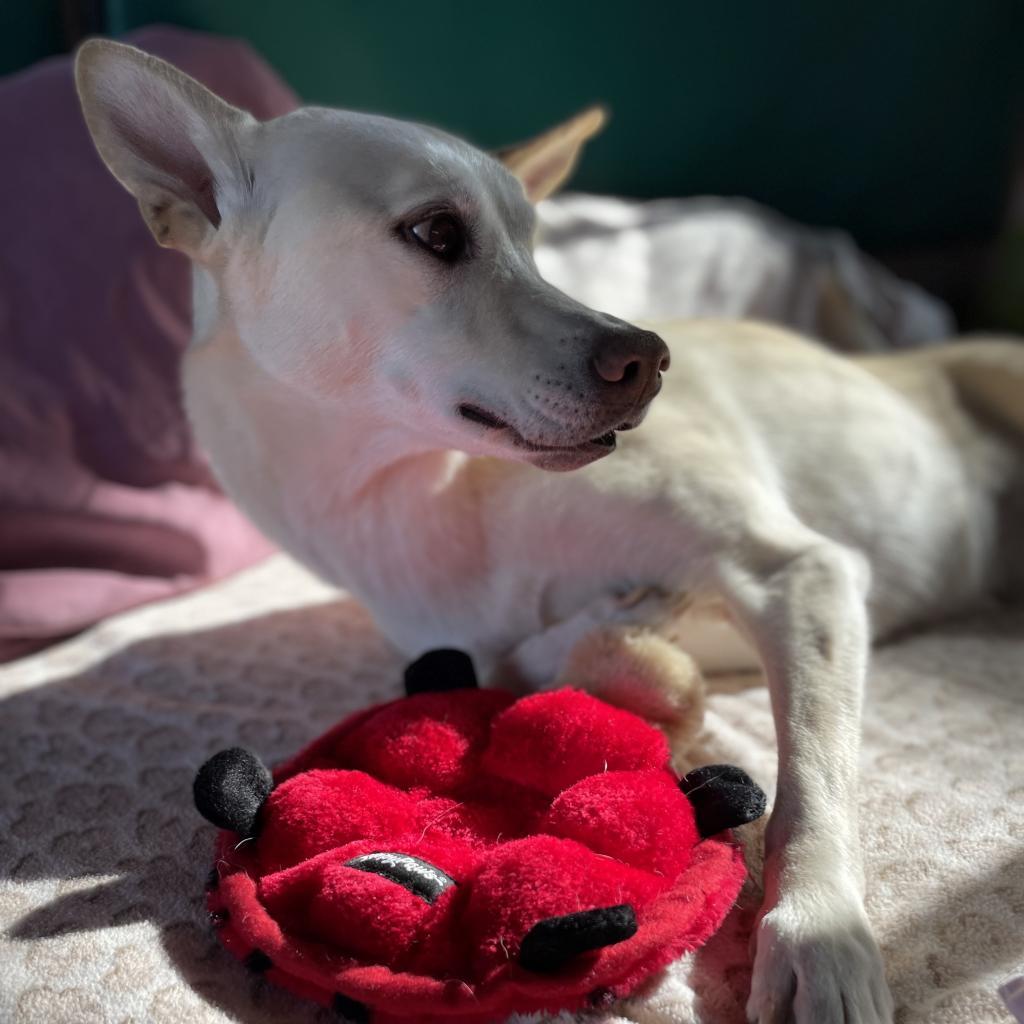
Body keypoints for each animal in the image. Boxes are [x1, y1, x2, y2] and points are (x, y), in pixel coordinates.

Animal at [75, 39, 1019, 1024]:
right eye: (437, 234)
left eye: (532, 248)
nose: (651, 360)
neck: (415, 489)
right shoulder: (472, 639)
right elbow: (527, 655)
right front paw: (635, 645)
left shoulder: (799, 570)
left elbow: (811, 786)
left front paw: (818, 938)